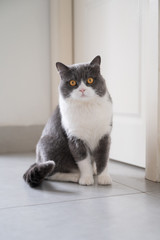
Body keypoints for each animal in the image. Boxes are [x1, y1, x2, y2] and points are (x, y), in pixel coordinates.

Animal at [23, 56, 112, 188]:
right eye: (72, 82)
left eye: (90, 80)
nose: (82, 89)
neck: (87, 108)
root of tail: (38, 161)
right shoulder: (74, 137)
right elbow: (83, 160)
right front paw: (86, 179)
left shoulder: (104, 134)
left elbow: (103, 158)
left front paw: (104, 178)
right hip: (49, 145)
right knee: (52, 172)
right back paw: (74, 176)